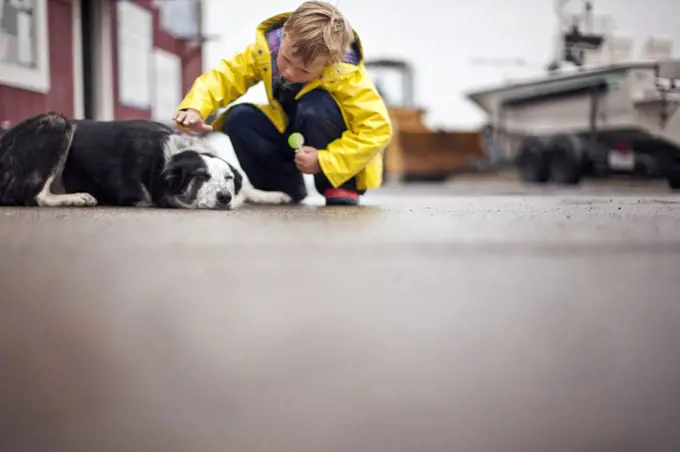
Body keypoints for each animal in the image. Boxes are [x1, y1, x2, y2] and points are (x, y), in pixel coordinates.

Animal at [0, 112, 290, 211]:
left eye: (228, 179)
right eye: (200, 177)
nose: (224, 197)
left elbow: (248, 189)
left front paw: (273, 195)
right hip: (57, 123)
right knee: (35, 195)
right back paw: (76, 197)